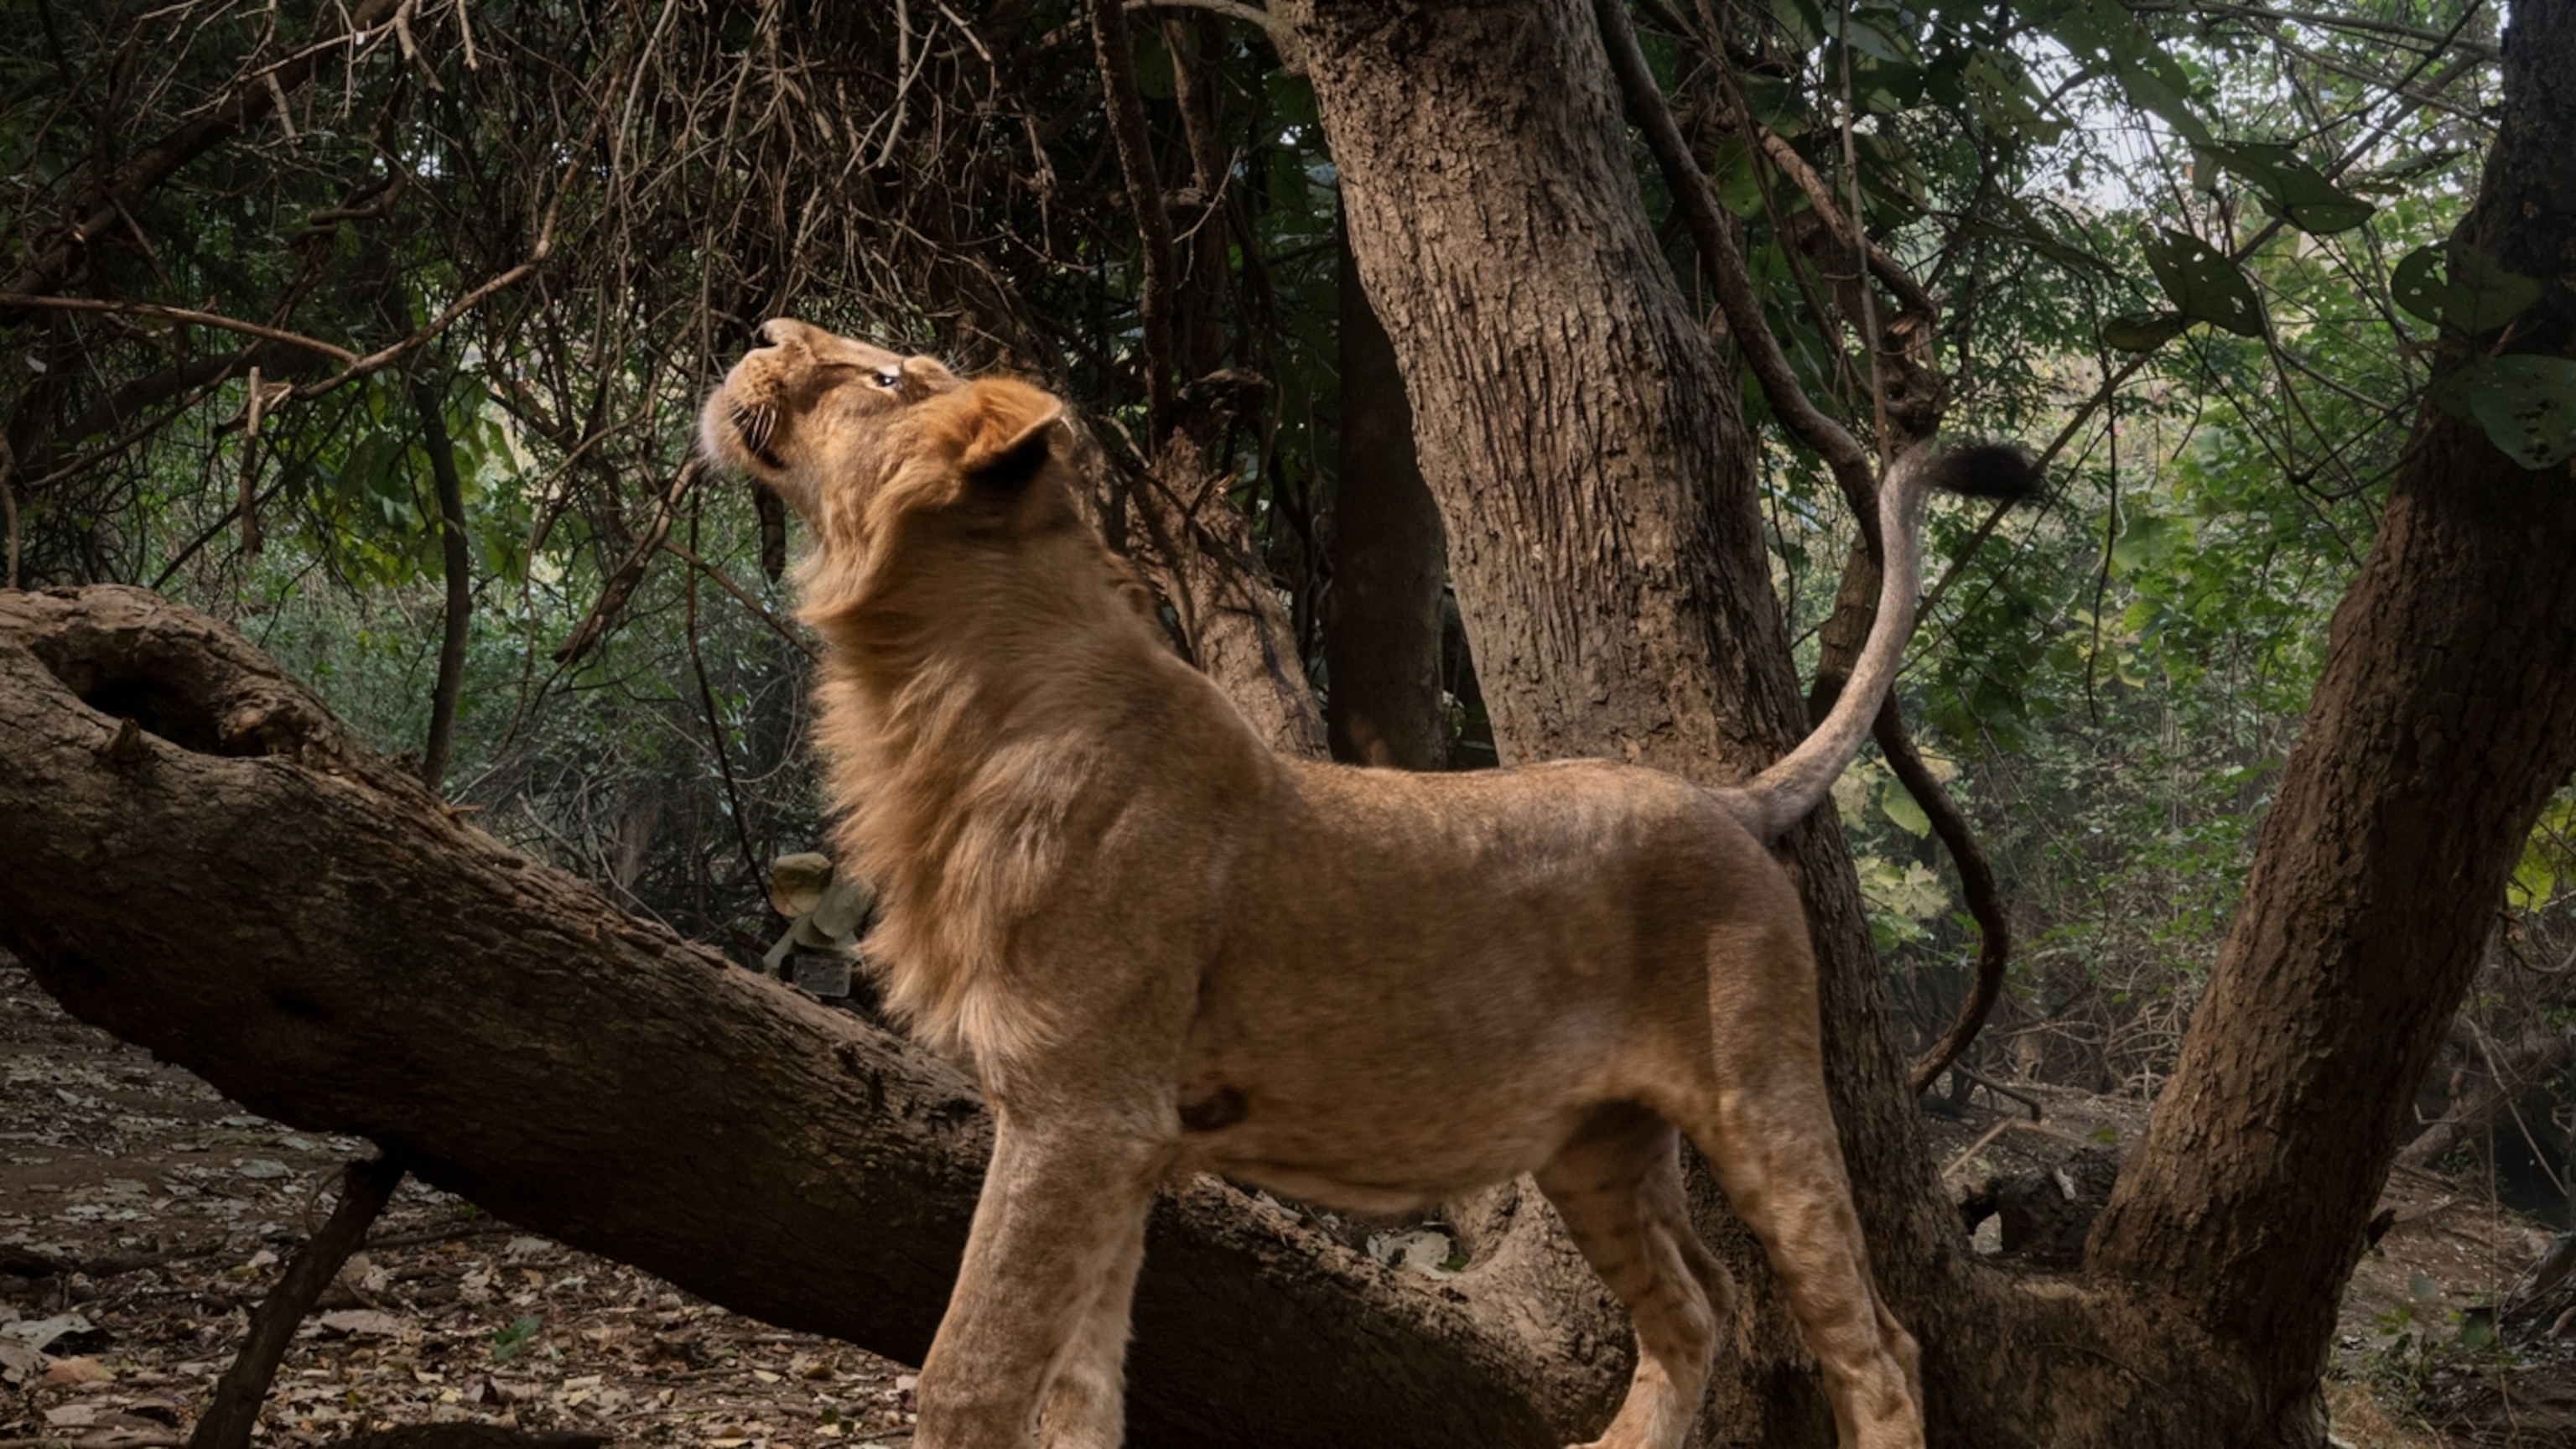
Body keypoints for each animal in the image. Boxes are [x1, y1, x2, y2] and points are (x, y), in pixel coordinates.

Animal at [700, 318, 2036, 1449]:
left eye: (885, 377)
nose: (760, 328)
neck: (928, 681)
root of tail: (1721, 798)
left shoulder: (1079, 1112)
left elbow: (971, 1371)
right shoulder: (1121, 1144)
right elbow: (1083, 1388)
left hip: (1764, 1105)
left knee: (1878, 1346)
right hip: (1594, 1148)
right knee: (1694, 1309)